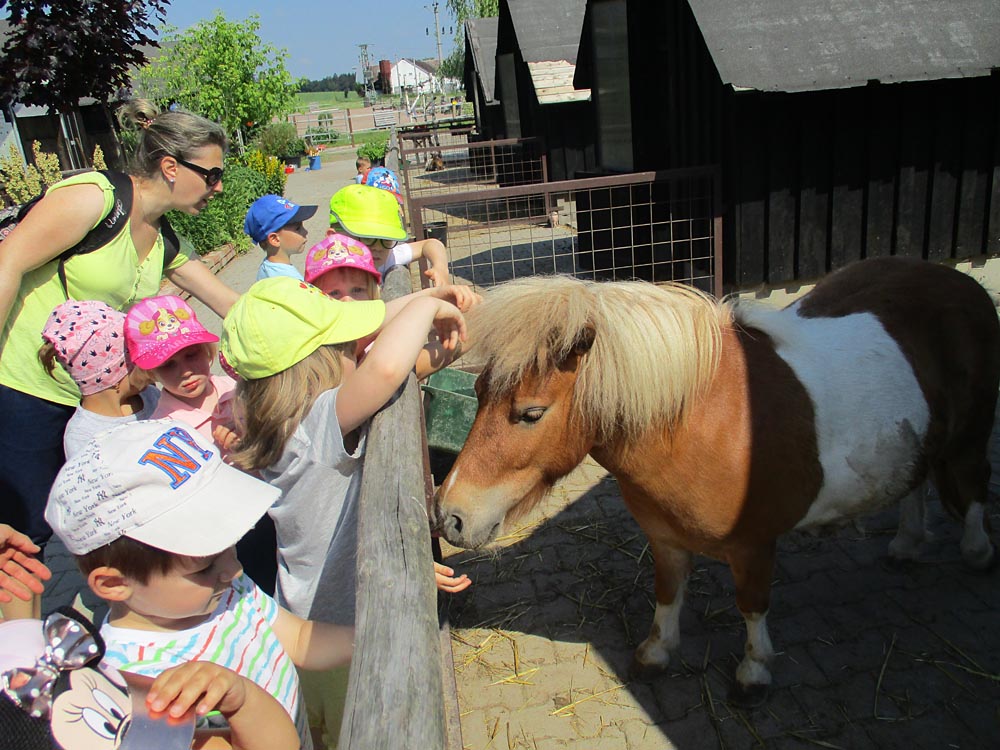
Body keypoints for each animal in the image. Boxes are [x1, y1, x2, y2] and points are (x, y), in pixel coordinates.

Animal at [436, 258, 1000, 704]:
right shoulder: (664, 540)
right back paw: (907, 543)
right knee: (918, 480)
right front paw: (656, 653)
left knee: (972, 487)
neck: (703, 419)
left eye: (530, 414)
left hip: (971, 438)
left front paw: (754, 672)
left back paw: (975, 551)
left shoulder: (753, 547)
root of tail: (959, 282)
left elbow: (752, 606)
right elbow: (667, 594)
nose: (449, 516)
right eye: (478, 391)